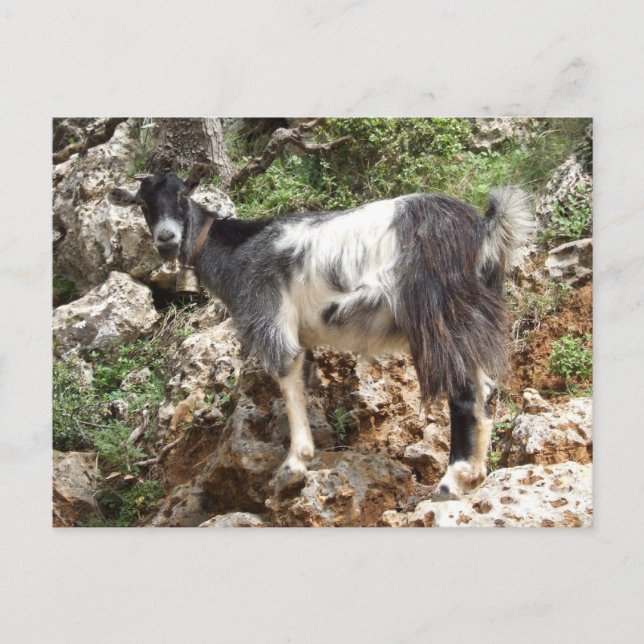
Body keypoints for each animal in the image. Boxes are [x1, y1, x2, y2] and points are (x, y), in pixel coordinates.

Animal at [109, 173, 532, 498]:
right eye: (143, 203)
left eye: (182, 193)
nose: (166, 238)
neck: (236, 250)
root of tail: (484, 231)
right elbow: (304, 380)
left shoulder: (268, 314)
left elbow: (285, 374)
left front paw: (294, 464)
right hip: (466, 316)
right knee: (485, 388)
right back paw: (474, 475)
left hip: (437, 312)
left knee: (462, 389)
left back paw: (450, 481)